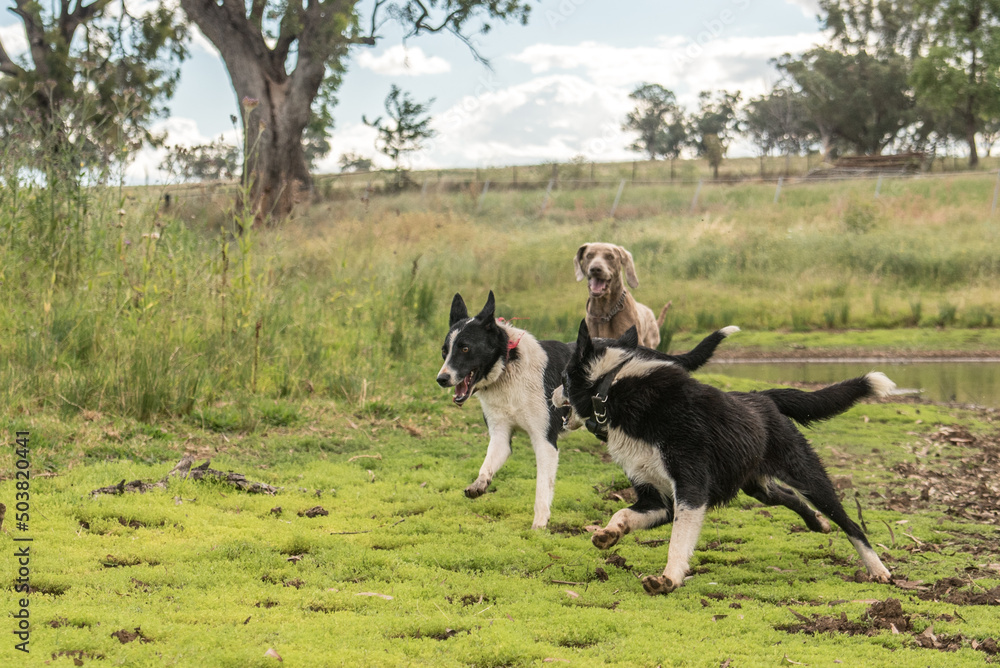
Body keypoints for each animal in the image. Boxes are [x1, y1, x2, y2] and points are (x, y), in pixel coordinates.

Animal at [434, 290, 740, 528]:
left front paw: (539, 526)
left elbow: (542, 490)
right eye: (444, 351)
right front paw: (479, 484)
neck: (509, 366)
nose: (442, 379)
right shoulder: (500, 436)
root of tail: (651, 352)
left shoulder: (545, 442)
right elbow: (487, 465)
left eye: (465, 348)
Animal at [556, 320, 900, 592]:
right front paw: (609, 534)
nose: (552, 394)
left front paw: (668, 579)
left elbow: (678, 542)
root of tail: (764, 397)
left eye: (562, 376)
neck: (612, 389)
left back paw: (878, 569)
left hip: (808, 477)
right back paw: (817, 523)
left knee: (851, 524)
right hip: (757, 486)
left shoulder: (691, 492)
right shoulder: (659, 500)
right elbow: (623, 514)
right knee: (786, 496)